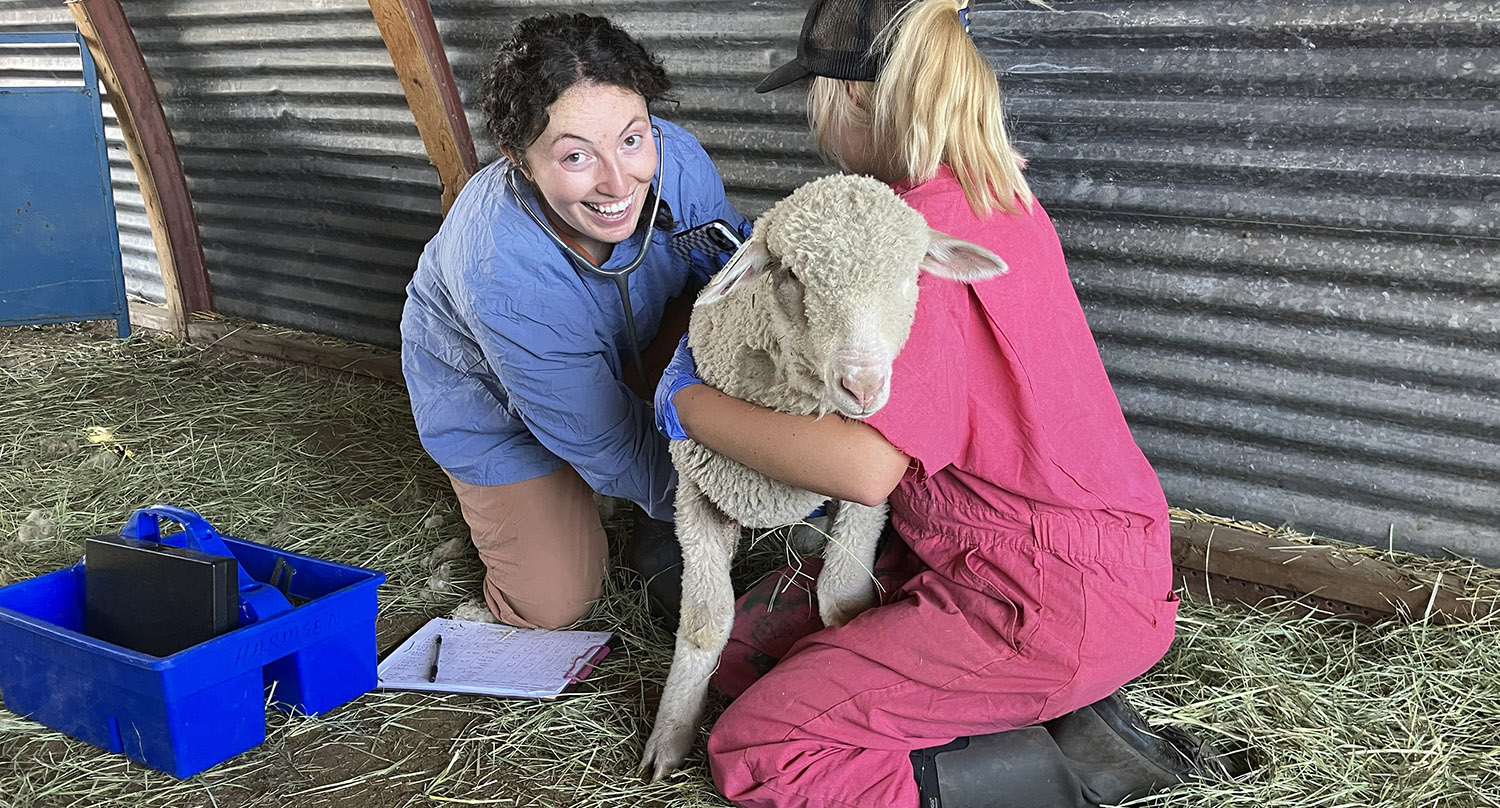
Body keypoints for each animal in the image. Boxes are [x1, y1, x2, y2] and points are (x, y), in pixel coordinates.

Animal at [637, 173, 1008, 781]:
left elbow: (841, 603)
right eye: (790, 274)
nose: (863, 386)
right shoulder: (696, 497)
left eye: (911, 275)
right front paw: (669, 738)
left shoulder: (866, 496)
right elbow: (704, 624)